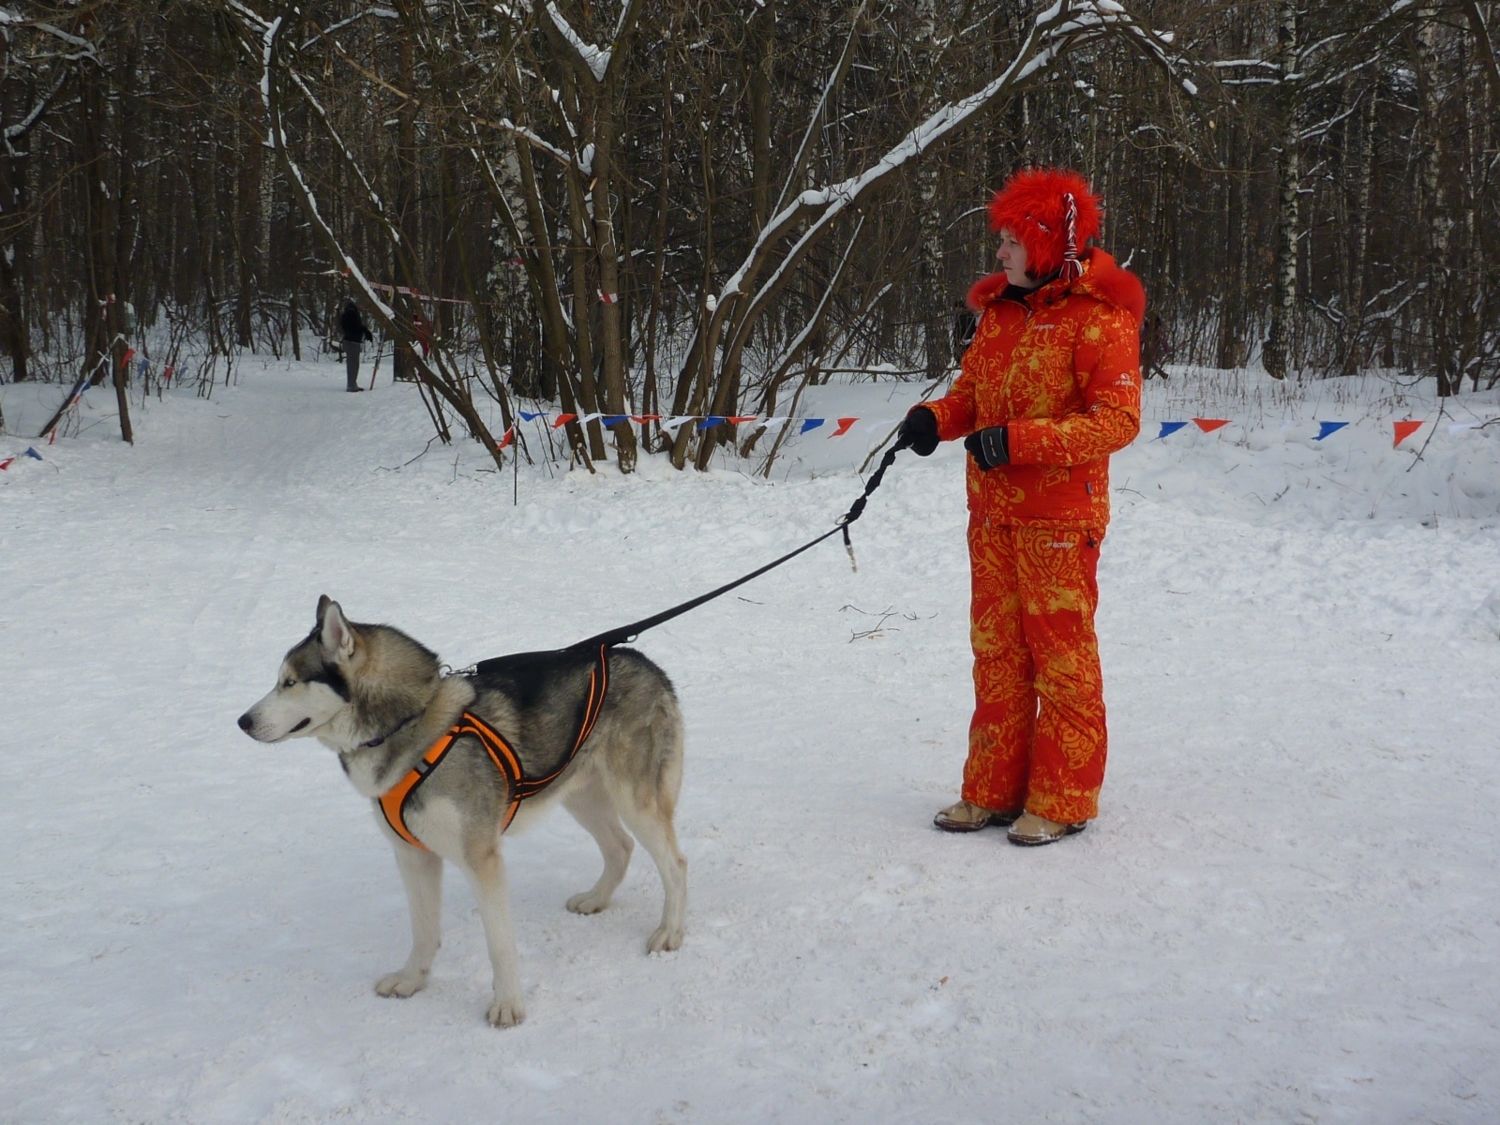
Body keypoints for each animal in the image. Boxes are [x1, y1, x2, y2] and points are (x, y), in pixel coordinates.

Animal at [237, 600, 687, 1032]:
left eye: (290, 682)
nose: (242, 721)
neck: (412, 723)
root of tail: (642, 660)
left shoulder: (480, 858)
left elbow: (499, 944)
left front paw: (508, 1006)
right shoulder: (413, 855)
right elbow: (423, 931)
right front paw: (411, 981)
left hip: (634, 800)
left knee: (674, 863)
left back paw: (670, 931)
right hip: (579, 795)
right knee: (620, 846)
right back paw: (596, 899)